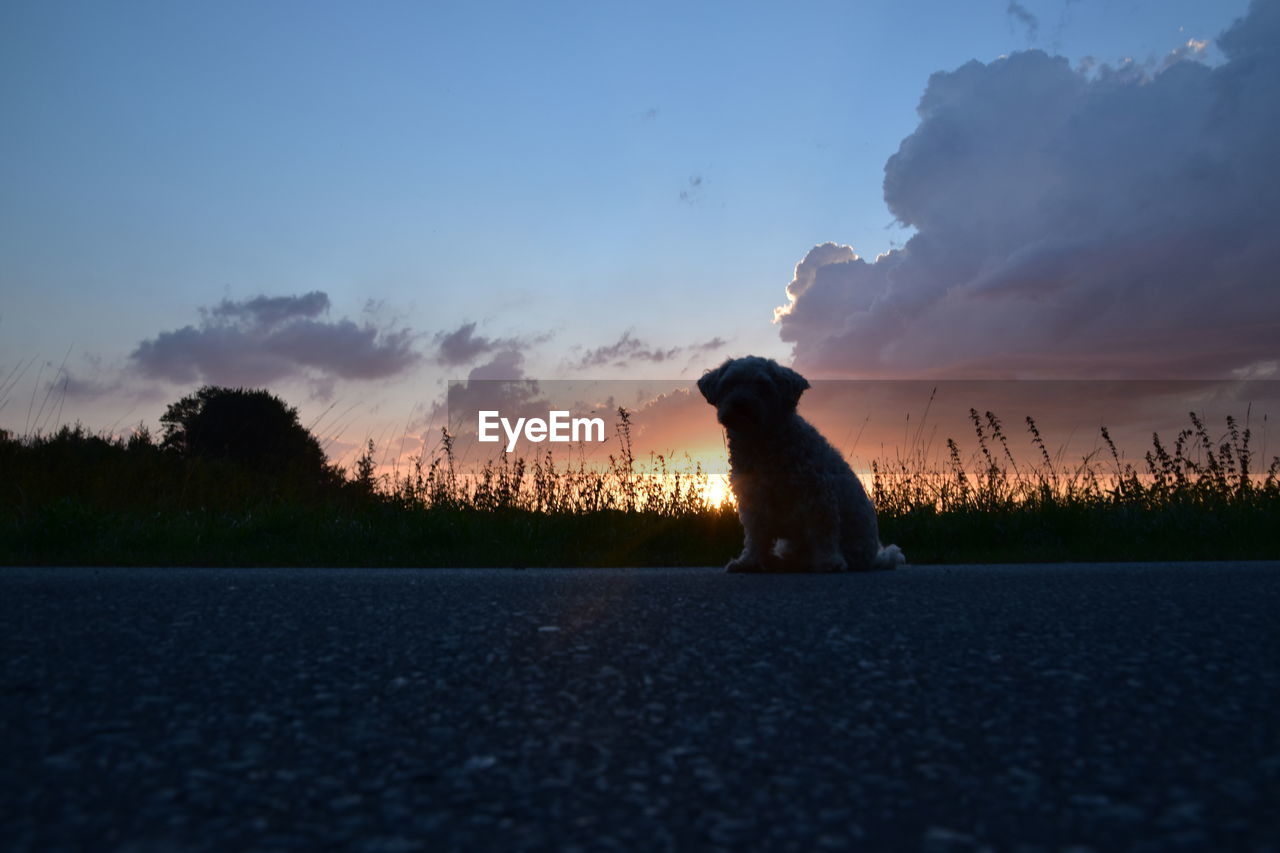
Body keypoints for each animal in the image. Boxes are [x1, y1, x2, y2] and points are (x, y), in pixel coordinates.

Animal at [701, 353, 901, 571]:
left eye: (762, 385)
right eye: (729, 384)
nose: (740, 403)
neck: (761, 442)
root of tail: (874, 557)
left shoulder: (819, 497)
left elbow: (824, 533)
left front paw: (829, 561)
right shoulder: (753, 500)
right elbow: (756, 536)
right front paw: (749, 561)